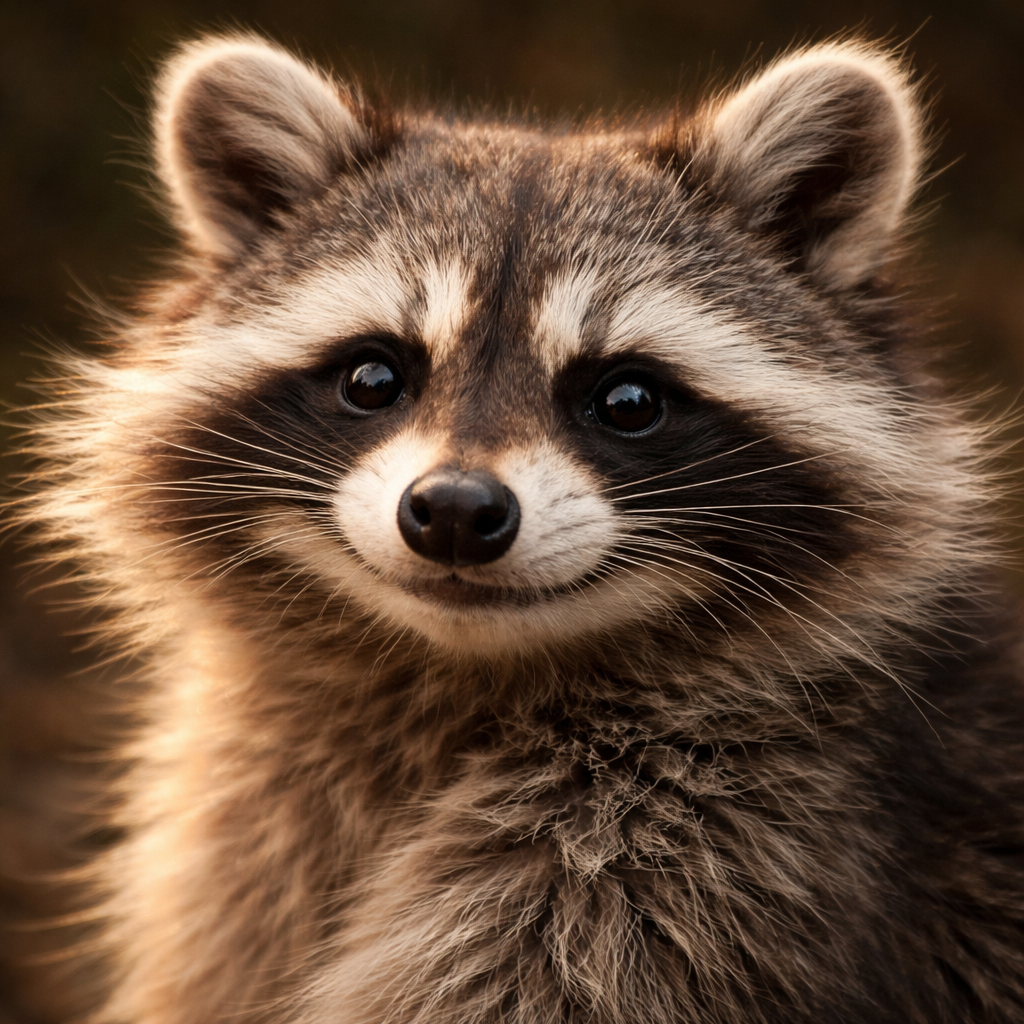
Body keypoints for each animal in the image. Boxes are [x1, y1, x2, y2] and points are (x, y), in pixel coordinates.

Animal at [25, 32, 1024, 1024]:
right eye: (373, 378)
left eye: (627, 400)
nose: (456, 512)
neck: (461, 681)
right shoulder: (243, 847)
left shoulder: (687, 868)